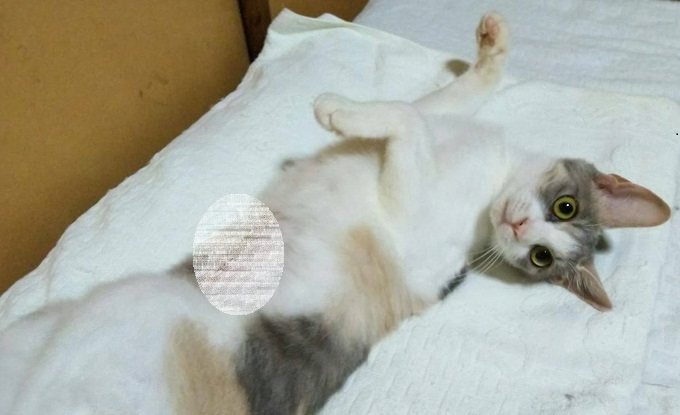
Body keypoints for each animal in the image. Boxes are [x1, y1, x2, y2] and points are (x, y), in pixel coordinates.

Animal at [0, 12, 671, 415]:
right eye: (563, 210)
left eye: (540, 258)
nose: (520, 228)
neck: (492, 178)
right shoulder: (446, 117)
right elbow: (452, 95)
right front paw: (491, 46)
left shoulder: (407, 199)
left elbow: (404, 116)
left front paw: (335, 110)